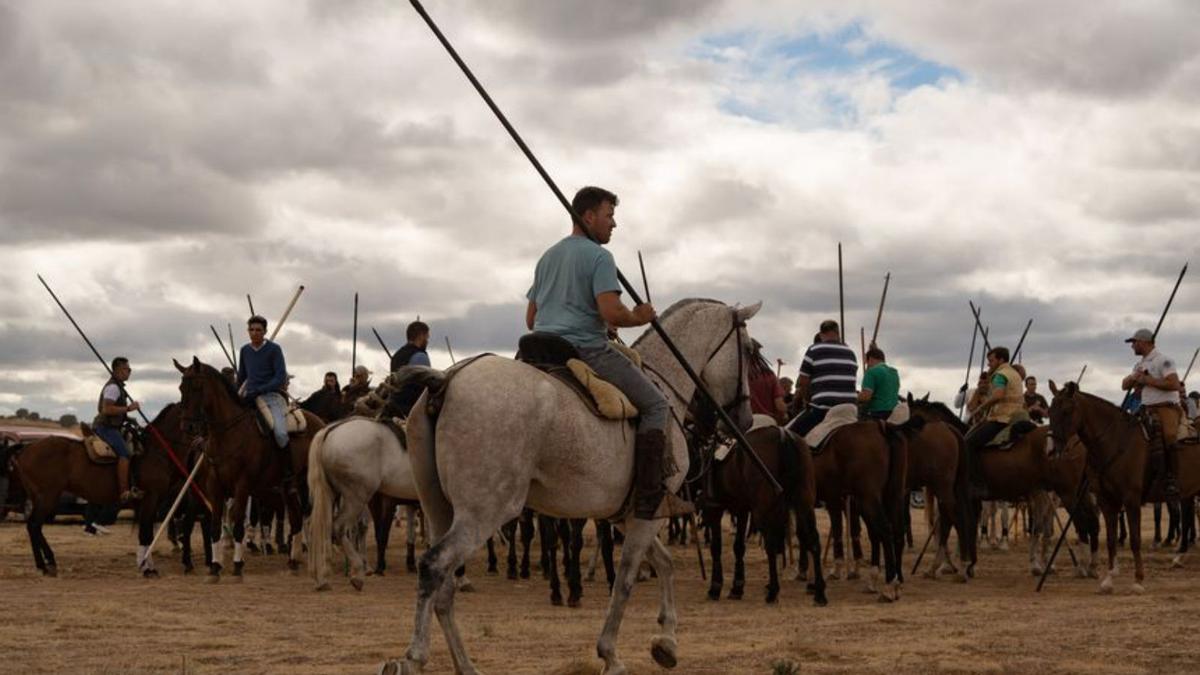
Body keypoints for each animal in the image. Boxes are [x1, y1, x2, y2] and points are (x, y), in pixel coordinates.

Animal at [12, 401, 194, 576]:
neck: (157, 450)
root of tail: (26, 449)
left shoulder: (149, 503)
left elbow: (147, 533)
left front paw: (146, 565)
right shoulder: (151, 499)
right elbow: (146, 533)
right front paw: (148, 569)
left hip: (40, 497)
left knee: (34, 527)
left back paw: (48, 563)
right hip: (47, 497)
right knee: (34, 525)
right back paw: (44, 565)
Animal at [174, 355, 324, 581]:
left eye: (198, 387)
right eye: (181, 387)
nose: (187, 427)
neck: (228, 433)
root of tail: (321, 423)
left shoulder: (242, 486)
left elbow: (237, 524)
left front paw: (237, 565)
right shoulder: (215, 488)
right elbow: (215, 526)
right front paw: (215, 566)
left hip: (304, 484)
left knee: (308, 516)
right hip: (287, 488)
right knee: (297, 518)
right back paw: (292, 561)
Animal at [384, 299, 758, 672]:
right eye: (750, 351)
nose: (746, 420)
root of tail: (445, 380)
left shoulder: (628, 514)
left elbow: (664, 563)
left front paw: (666, 642)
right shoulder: (647, 513)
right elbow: (624, 580)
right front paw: (611, 654)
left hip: (439, 509)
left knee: (444, 590)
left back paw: (465, 665)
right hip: (484, 512)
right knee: (434, 567)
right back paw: (414, 658)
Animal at [1046, 381, 1195, 590]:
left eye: (1067, 410)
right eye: (1050, 411)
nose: (1052, 451)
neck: (1115, 440)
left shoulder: (1131, 499)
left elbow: (1135, 539)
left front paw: (1138, 580)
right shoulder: (1106, 501)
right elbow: (1110, 539)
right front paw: (1109, 578)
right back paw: (1179, 557)